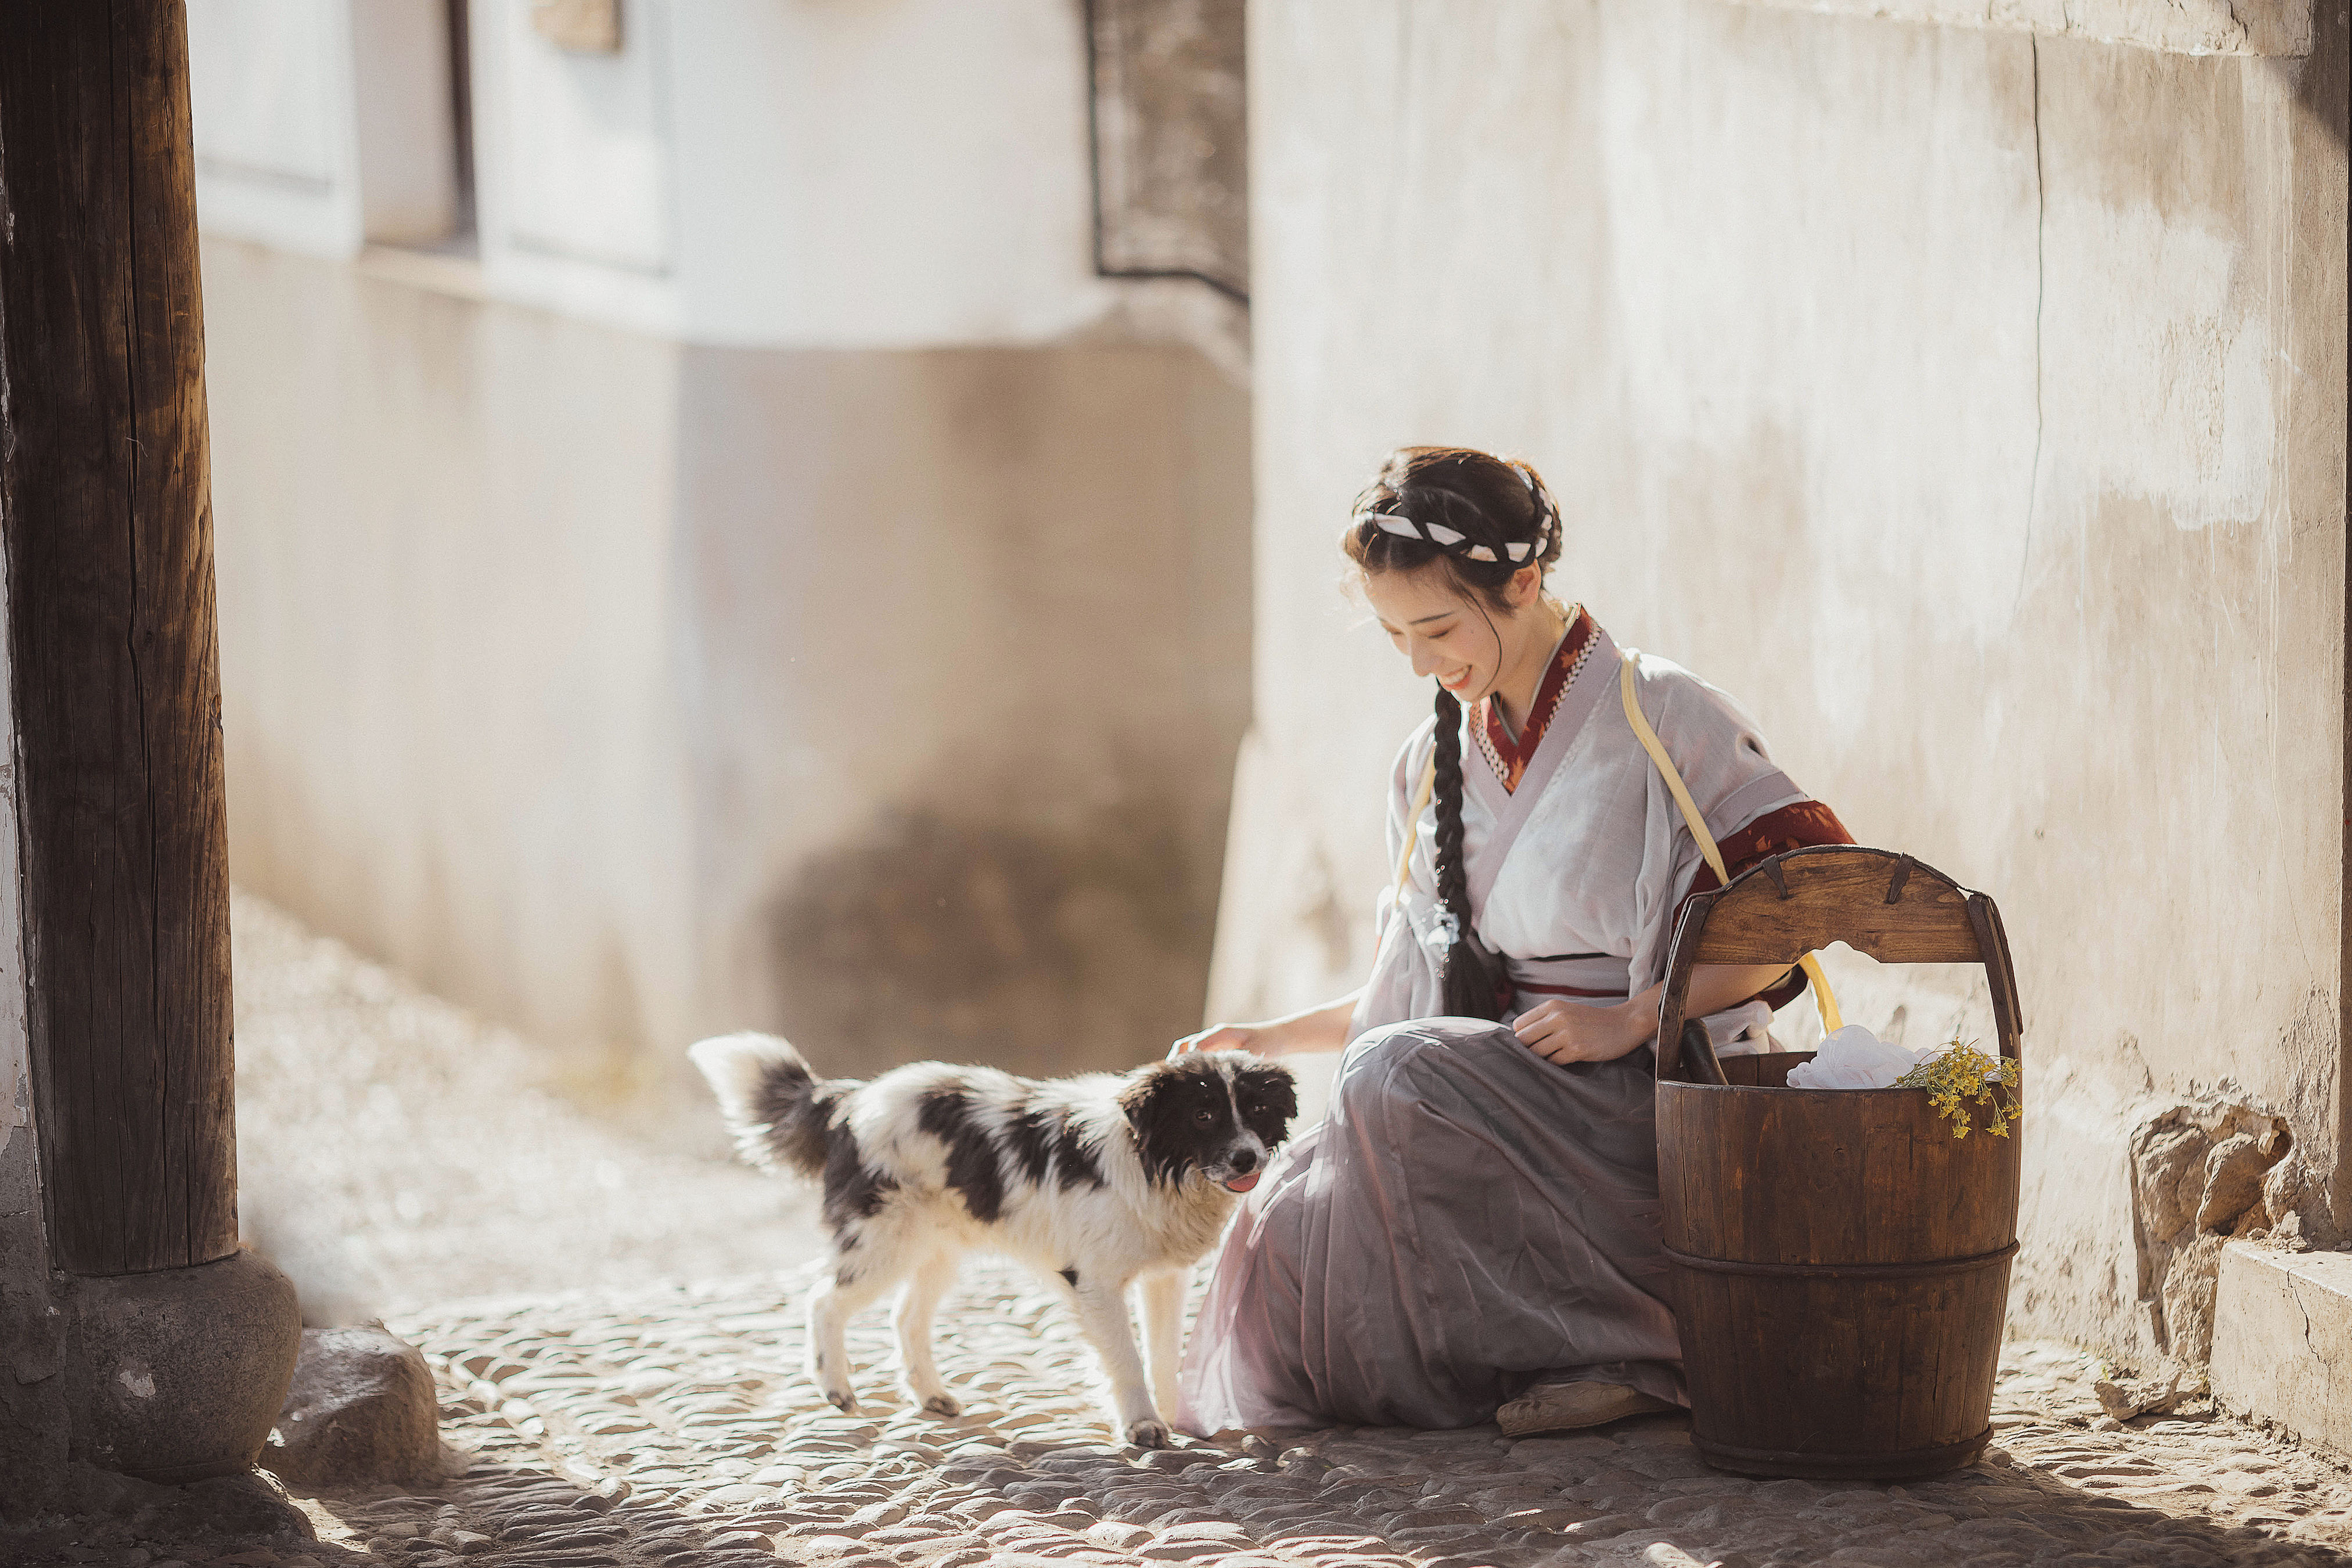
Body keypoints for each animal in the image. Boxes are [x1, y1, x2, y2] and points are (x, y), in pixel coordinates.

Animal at [686, 1034, 1298, 1457]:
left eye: (1258, 1112)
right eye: (1204, 1115)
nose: (1246, 1158)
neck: (1154, 1162)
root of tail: (849, 1099)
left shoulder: (1165, 1277)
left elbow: (1165, 1354)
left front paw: (1173, 1417)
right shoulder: (1096, 1282)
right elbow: (1125, 1359)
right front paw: (1142, 1425)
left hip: (936, 1250)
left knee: (906, 1317)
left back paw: (930, 1395)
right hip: (883, 1242)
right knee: (823, 1300)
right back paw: (835, 1385)